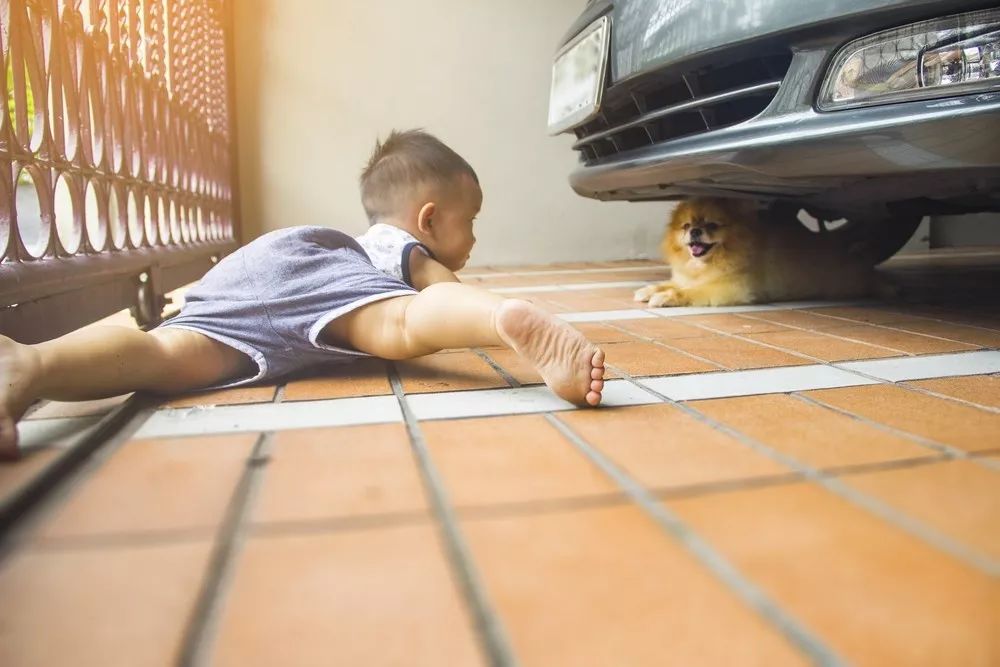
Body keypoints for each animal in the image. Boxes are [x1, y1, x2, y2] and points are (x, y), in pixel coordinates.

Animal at [632, 198, 884, 308]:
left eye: (712, 225)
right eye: (686, 226)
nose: (695, 230)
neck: (705, 265)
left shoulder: (730, 288)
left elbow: (689, 291)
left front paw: (667, 297)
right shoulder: (686, 278)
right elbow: (670, 283)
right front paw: (651, 289)